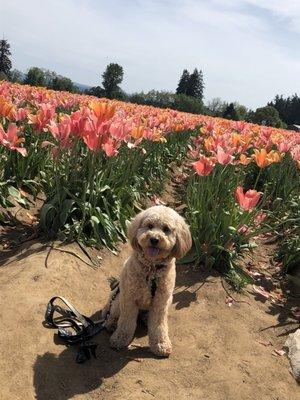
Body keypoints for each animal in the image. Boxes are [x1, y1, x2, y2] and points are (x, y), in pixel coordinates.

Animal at [102, 206, 192, 356]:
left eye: (166, 229)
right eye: (149, 226)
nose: (154, 239)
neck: (152, 270)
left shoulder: (160, 303)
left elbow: (159, 326)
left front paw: (161, 345)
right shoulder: (129, 298)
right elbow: (126, 322)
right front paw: (120, 339)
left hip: (168, 301)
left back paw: (144, 318)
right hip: (118, 298)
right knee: (113, 312)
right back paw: (111, 323)